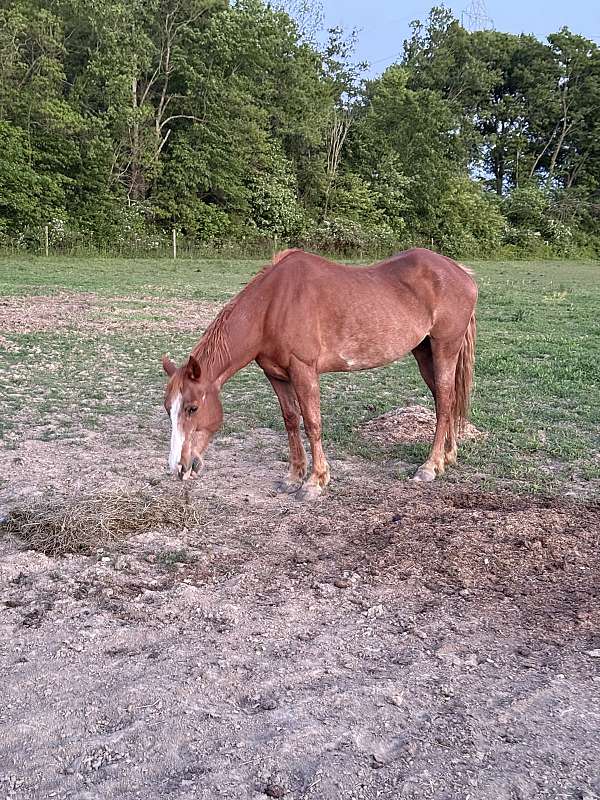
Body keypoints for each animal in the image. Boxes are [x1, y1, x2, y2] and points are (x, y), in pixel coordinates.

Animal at [162, 247, 477, 499]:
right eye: (168, 408)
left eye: (192, 408)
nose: (178, 467)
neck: (271, 307)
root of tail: (461, 273)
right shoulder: (276, 375)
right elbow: (291, 421)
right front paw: (293, 477)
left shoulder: (303, 370)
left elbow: (312, 423)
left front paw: (315, 481)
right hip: (424, 352)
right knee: (445, 400)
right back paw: (447, 456)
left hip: (445, 348)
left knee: (445, 400)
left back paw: (429, 466)